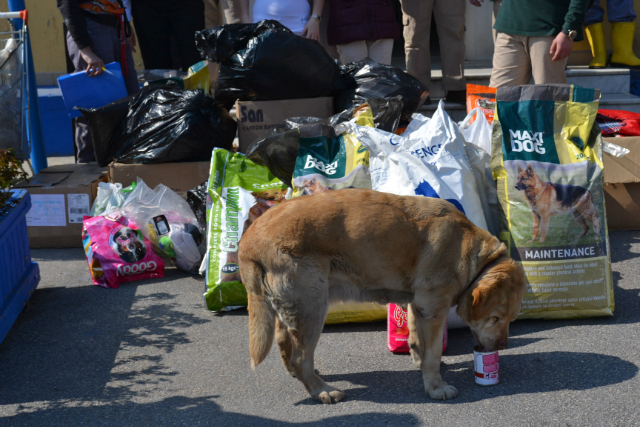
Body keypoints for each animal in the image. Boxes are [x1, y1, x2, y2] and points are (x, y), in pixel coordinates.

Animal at [240, 190, 524, 404]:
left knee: (284, 342)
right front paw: (435, 386)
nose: (503, 346)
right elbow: (433, 353)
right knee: (301, 358)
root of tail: (247, 241)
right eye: (496, 318)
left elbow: (416, 339)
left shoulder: (419, 304)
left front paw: (419, 361)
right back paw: (320, 390)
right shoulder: (433, 309)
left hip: (294, 307)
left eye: (511, 319)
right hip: (312, 306)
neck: (472, 255)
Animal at [492, 85, 612, 320]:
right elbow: (535, 229)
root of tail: (586, 189)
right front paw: (533, 241)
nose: (516, 187)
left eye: (524, 179)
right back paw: (578, 239)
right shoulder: (535, 216)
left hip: (585, 211)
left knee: (594, 222)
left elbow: (544, 230)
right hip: (576, 214)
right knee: (584, 227)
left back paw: (596, 235)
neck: (534, 191)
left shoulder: (545, 216)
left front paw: (541, 242)